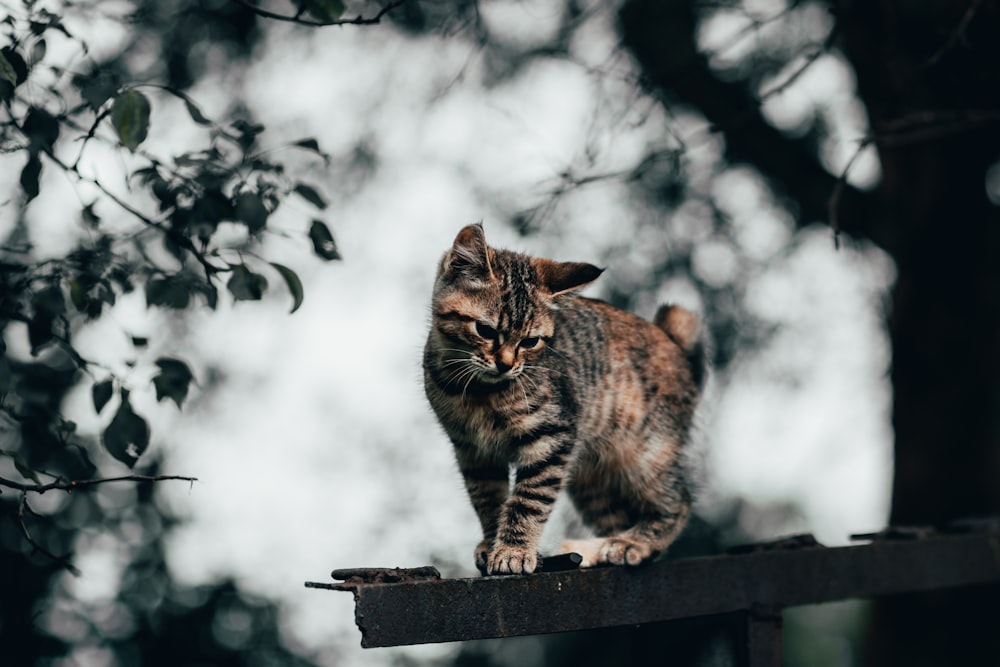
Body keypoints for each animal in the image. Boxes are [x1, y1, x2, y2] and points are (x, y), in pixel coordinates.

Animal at [422, 223, 704, 576]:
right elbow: (488, 500)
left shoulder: (552, 437)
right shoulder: (473, 451)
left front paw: (514, 550)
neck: (479, 393)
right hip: (590, 480)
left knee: (678, 501)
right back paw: (597, 549)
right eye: (485, 330)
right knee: (617, 517)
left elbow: (528, 500)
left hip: (646, 452)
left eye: (530, 341)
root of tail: (671, 340)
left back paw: (632, 543)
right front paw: (492, 543)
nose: (505, 364)